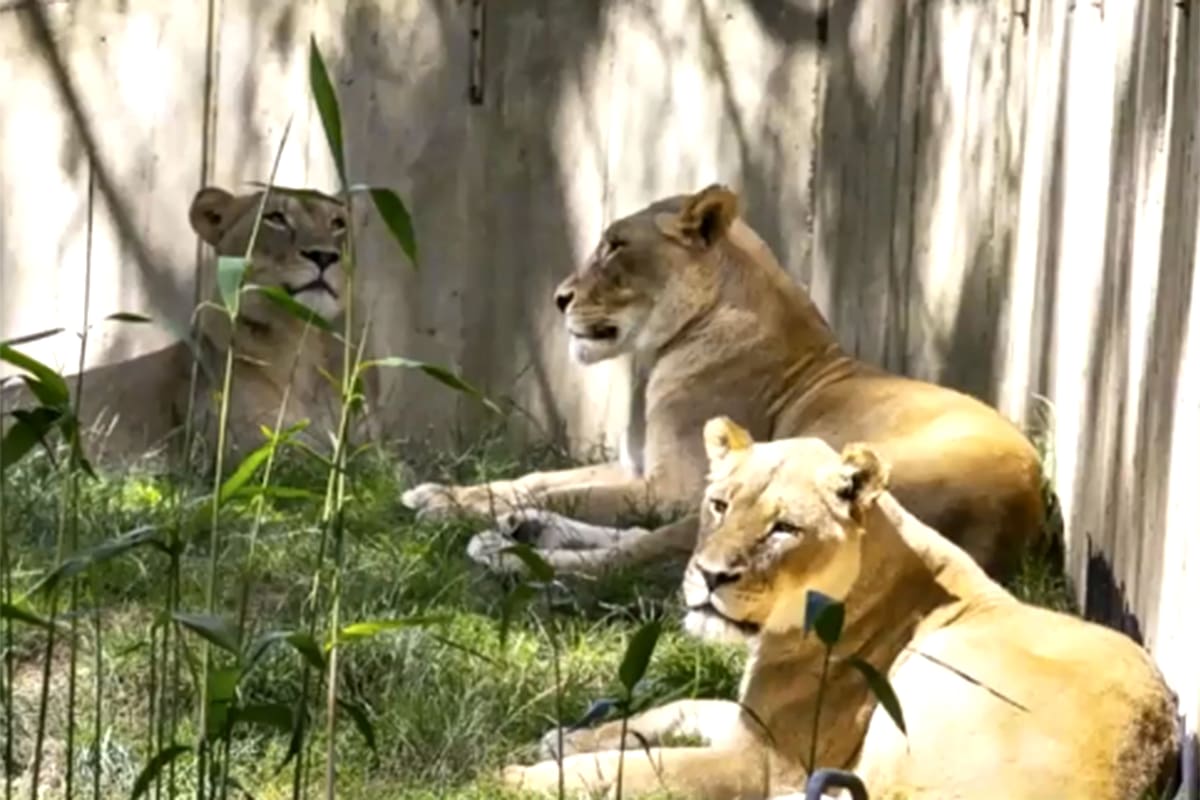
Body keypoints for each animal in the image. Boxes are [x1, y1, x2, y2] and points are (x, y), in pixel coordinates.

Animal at [402, 184, 1046, 580]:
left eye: (616, 246)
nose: (559, 298)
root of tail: (1016, 517)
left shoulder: (672, 486)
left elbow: (569, 493)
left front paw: (445, 508)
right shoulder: (641, 470)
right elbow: (537, 480)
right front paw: (444, 493)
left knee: (634, 559)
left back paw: (506, 556)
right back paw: (518, 532)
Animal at [500, 417, 1180, 800]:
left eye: (783, 529)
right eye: (720, 505)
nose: (710, 576)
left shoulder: (764, 761)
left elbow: (638, 771)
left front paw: (517, 780)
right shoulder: (753, 724)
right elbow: (676, 709)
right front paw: (564, 737)